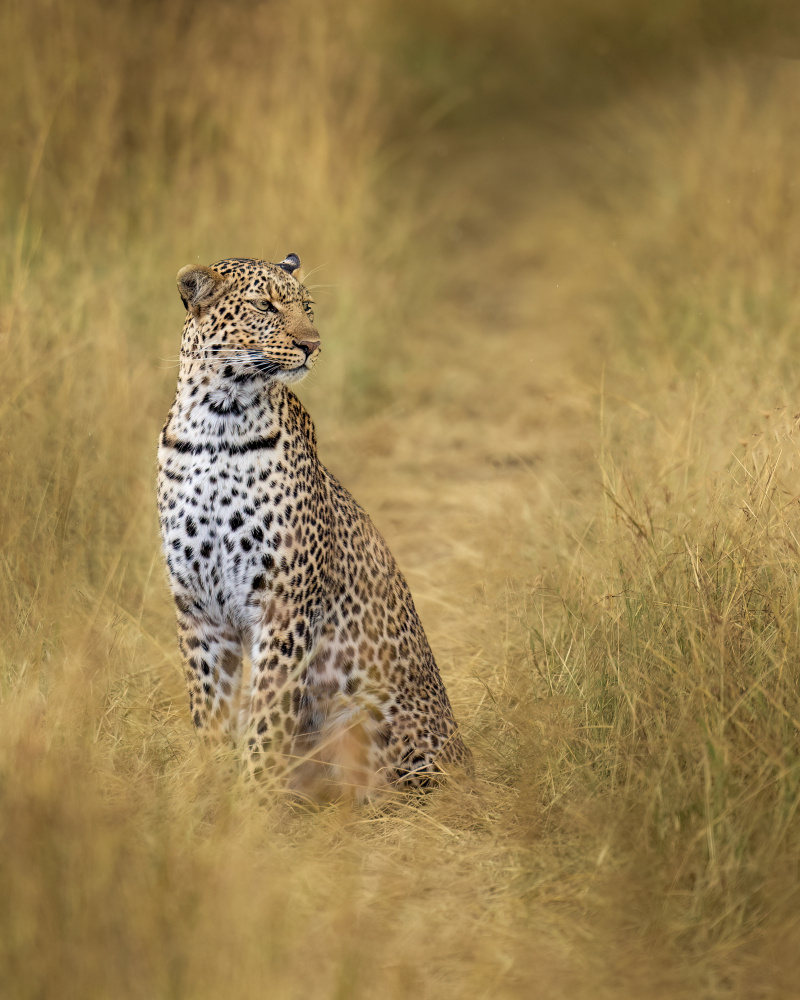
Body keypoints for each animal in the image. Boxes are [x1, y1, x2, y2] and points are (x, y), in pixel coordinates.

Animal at [157, 254, 472, 800]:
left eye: (306, 306)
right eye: (264, 306)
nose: (313, 344)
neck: (217, 421)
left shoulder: (285, 604)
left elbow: (267, 715)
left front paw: (253, 799)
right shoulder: (198, 607)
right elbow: (209, 709)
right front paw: (213, 787)